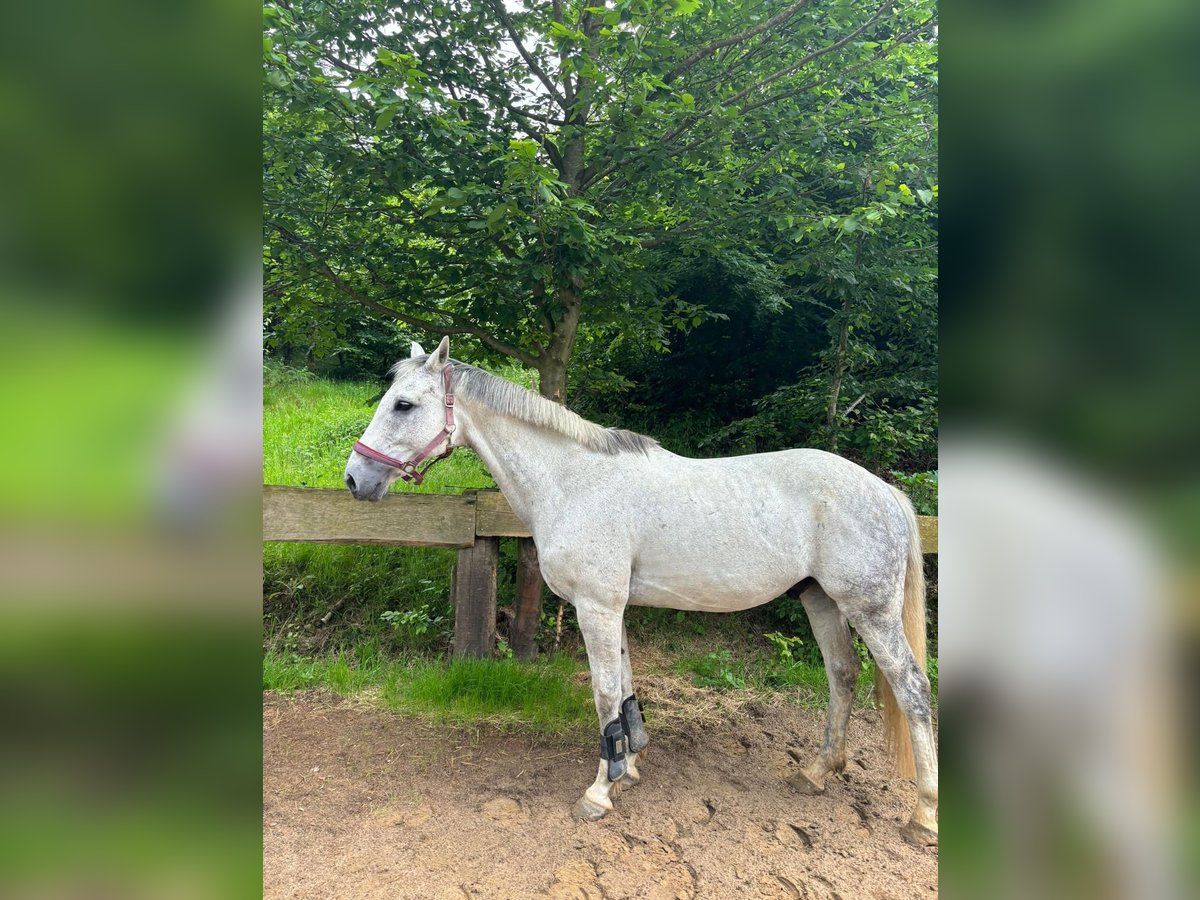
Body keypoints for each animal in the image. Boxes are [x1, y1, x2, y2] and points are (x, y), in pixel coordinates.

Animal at [345, 336, 936, 844]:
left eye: (402, 405)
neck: (574, 481)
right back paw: (816, 772)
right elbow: (626, 692)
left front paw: (599, 792)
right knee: (843, 675)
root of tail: (884, 490)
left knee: (911, 687)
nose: (355, 479)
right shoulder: (614, 609)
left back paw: (923, 814)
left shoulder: (596, 608)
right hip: (820, 600)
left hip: (870, 609)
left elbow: (605, 694)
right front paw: (627, 766)